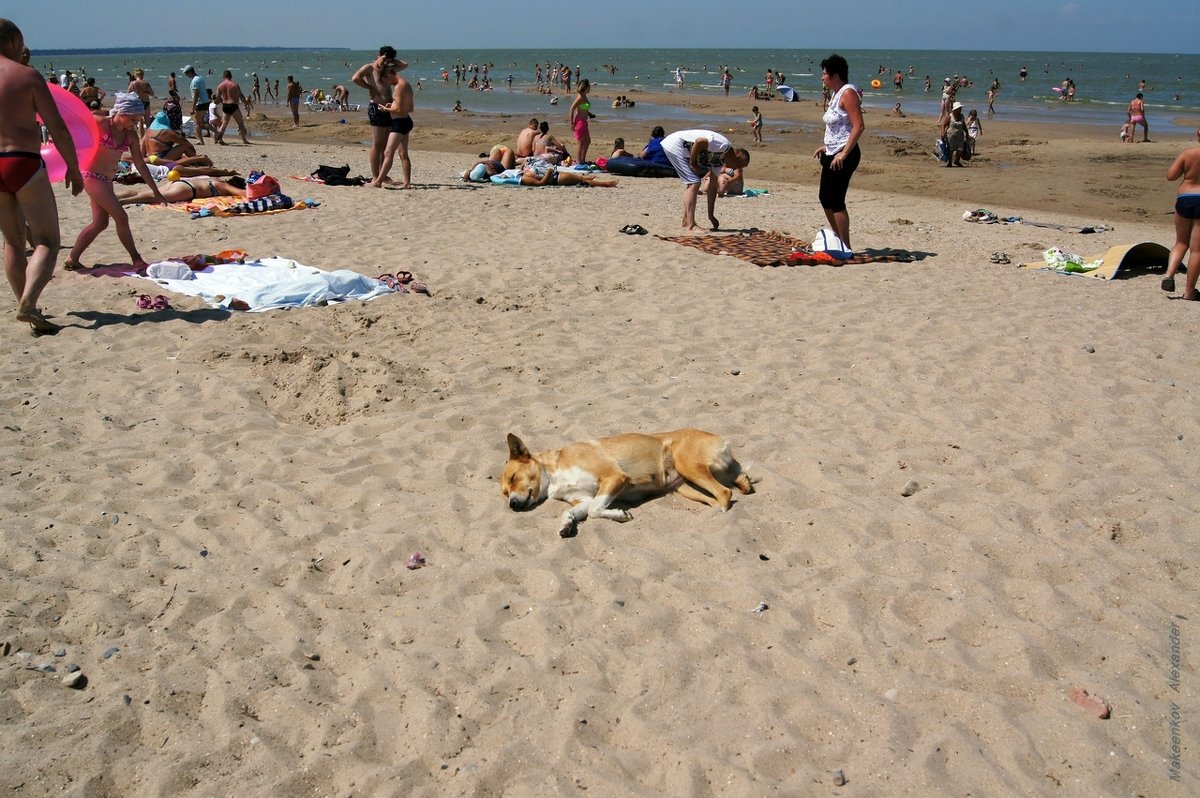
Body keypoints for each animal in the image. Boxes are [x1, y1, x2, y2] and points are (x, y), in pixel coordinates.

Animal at [504, 429, 748, 535]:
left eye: (513, 477)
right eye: (505, 493)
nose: (512, 505)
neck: (554, 475)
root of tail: (721, 440)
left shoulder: (614, 478)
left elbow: (595, 510)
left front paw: (620, 514)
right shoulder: (583, 500)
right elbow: (574, 511)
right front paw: (566, 525)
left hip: (688, 465)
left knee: (725, 493)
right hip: (684, 486)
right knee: (719, 495)